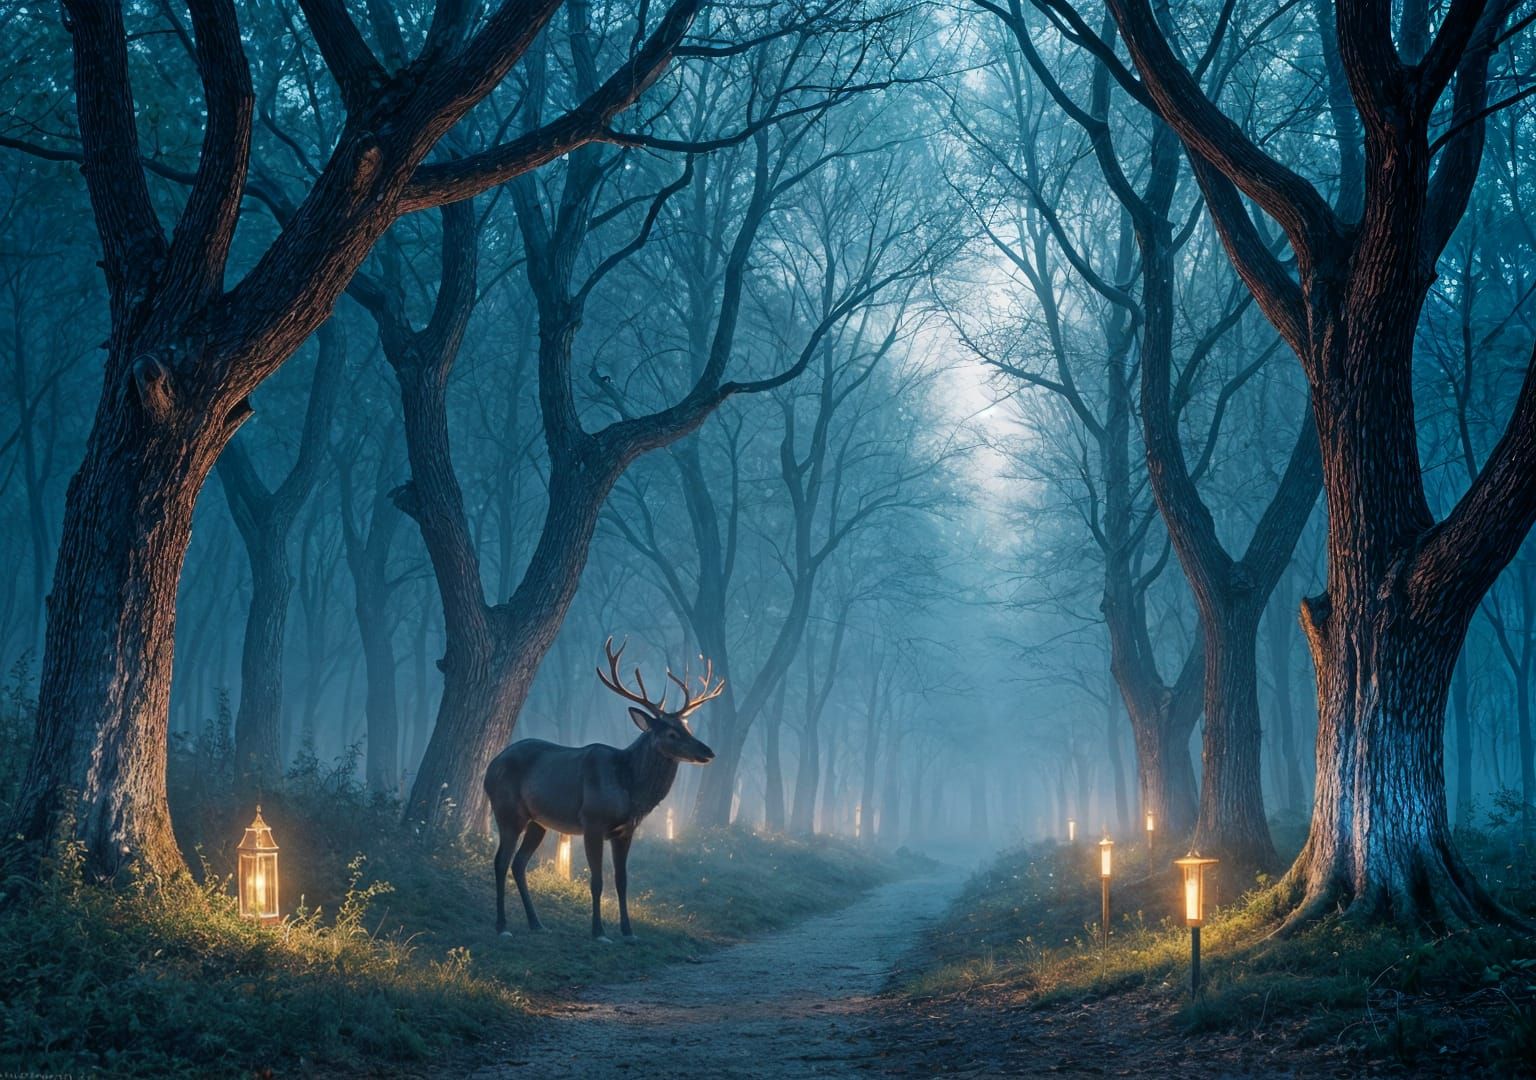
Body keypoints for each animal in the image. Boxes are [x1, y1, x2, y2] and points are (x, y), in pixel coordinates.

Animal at [484, 637, 724, 942]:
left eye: (688, 727)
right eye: (671, 733)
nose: (708, 751)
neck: (629, 788)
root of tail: (489, 769)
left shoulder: (625, 830)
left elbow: (622, 881)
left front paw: (628, 931)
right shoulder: (593, 821)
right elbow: (596, 880)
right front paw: (598, 931)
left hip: (538, 821)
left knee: (518, 863)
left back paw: (536, 922)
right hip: (508, 811)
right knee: (500, 861)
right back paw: (502, 926)